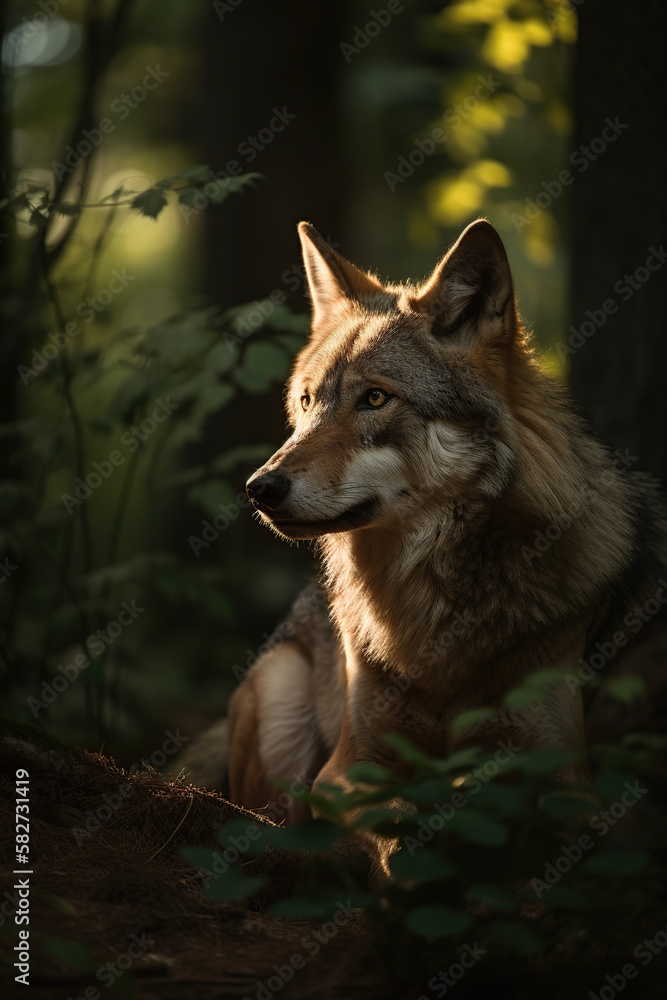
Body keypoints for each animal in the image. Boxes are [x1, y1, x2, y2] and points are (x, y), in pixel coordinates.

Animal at [180, 219, 667, 836]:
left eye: (375, 398)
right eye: (308, 402)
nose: (259, 488)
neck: (433, 607)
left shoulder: (562, 776)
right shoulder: (348, 766)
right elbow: (400, 833)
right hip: (279, 693)